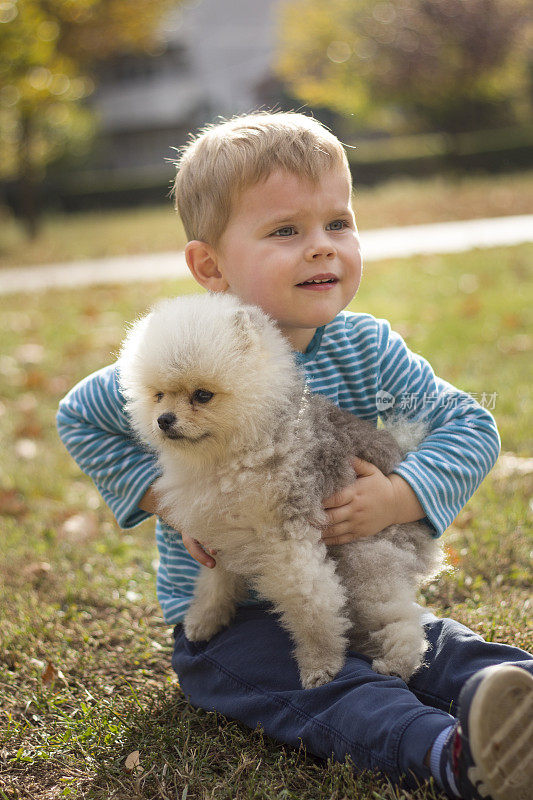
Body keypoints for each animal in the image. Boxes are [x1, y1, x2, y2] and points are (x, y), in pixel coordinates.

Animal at [119, 294, 440, 688]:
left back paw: (397, 663)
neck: (234, 453)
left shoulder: (287, 541)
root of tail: (399, 453)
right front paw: (205, 619)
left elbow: (312, 604)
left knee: (400, 617)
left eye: (203, 395)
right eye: (159, 395)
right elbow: (215, 581)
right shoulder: (227, 533)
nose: (164, 419)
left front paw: (320, 663)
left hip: (368, 554)